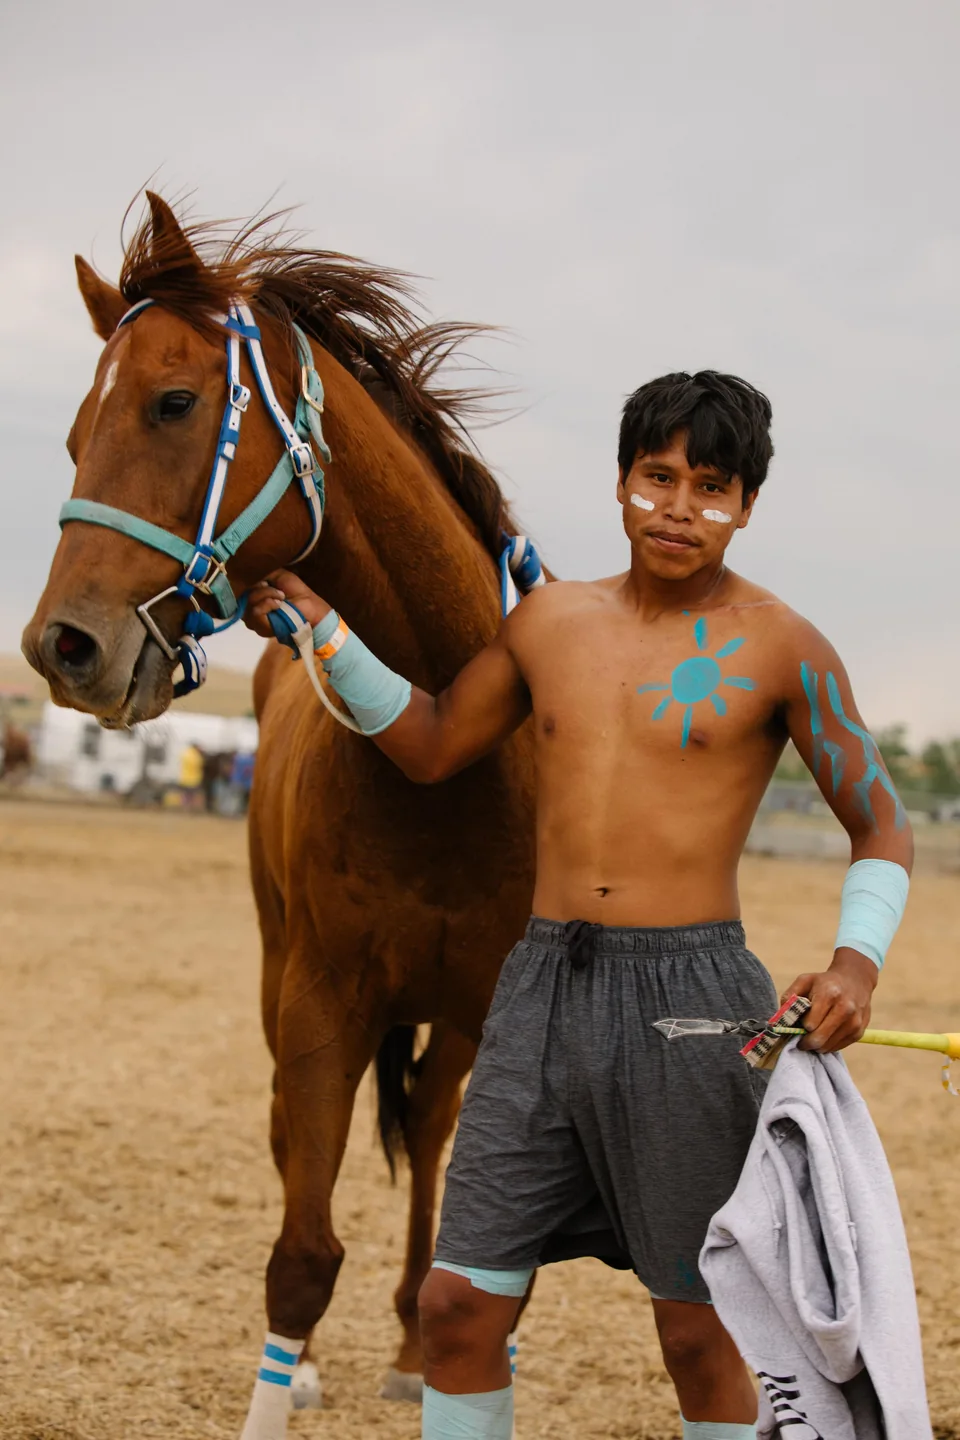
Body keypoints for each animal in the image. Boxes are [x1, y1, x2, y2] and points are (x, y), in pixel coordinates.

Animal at [21, 193, 539, 1431]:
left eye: (172, 402)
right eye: (73, 433)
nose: (61, 646)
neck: (447, 772)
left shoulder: (491, 1014)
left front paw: (431, 1347)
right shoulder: (319, 998)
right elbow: (301, 1256)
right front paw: (289, 1363)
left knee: (429, 1134)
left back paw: (407, 1340)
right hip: (275, 965)